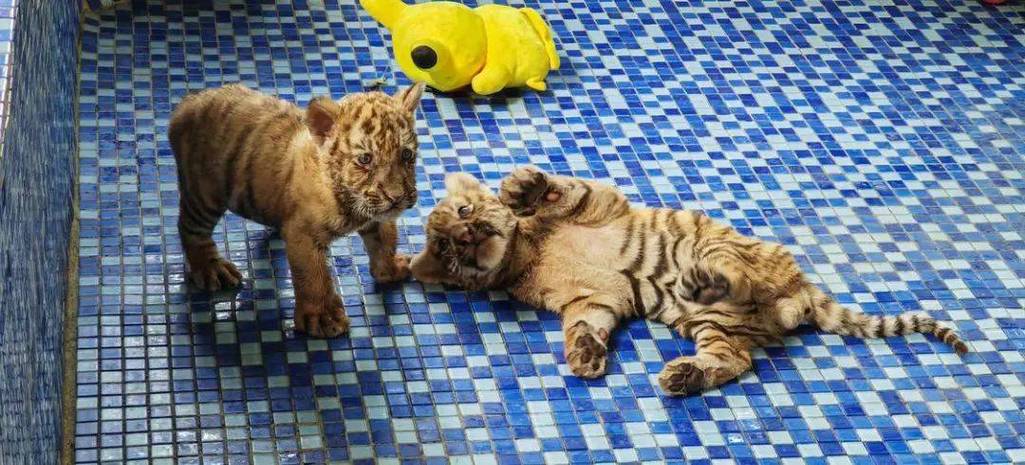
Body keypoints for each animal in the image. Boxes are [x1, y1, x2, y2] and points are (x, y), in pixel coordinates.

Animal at [169, 82, 426, 338]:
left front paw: (391, 269)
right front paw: (322, 317)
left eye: (406, 154)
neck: (350, 201)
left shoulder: (378, 216)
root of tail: (190, 101)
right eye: (365, 159)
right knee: (190, 228)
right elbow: (313, 275)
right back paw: (211, 268)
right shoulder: (304, 234)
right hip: (204, 195)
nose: (396, 198)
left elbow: (385, 241)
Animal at [409, 166, 969, 396]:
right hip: (715, 327)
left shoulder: (598, 203)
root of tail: (800, 294)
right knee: (736, 358)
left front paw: (519, 186)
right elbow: (586, 325)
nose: (468, 236)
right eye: (447, 250)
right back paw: (684, 376)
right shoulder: (593, 299)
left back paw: (701, 280)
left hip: (723, 249)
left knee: (735, 274)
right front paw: (585, 356)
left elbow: (562, 189)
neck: (527, 252)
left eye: (463, 212)